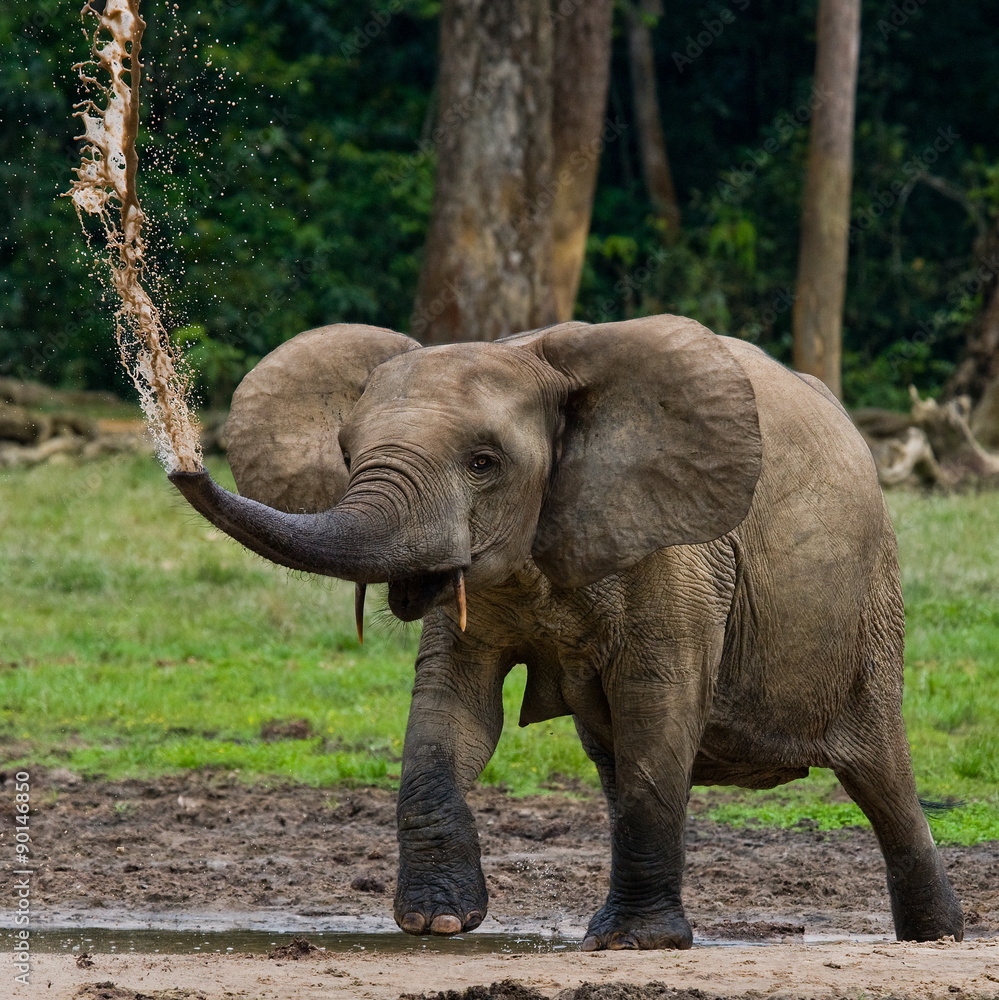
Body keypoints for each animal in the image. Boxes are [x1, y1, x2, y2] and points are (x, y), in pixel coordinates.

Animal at [169, 314, 964, 950]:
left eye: (483, 463)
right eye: (343, 450)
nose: (182, 459)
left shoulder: (677, 547)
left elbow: (659, 701)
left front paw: (635, 945)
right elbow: (450, 707)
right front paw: (437, 924)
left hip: (871, 600)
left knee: (878, 770)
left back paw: (937, 937)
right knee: (613, 757)